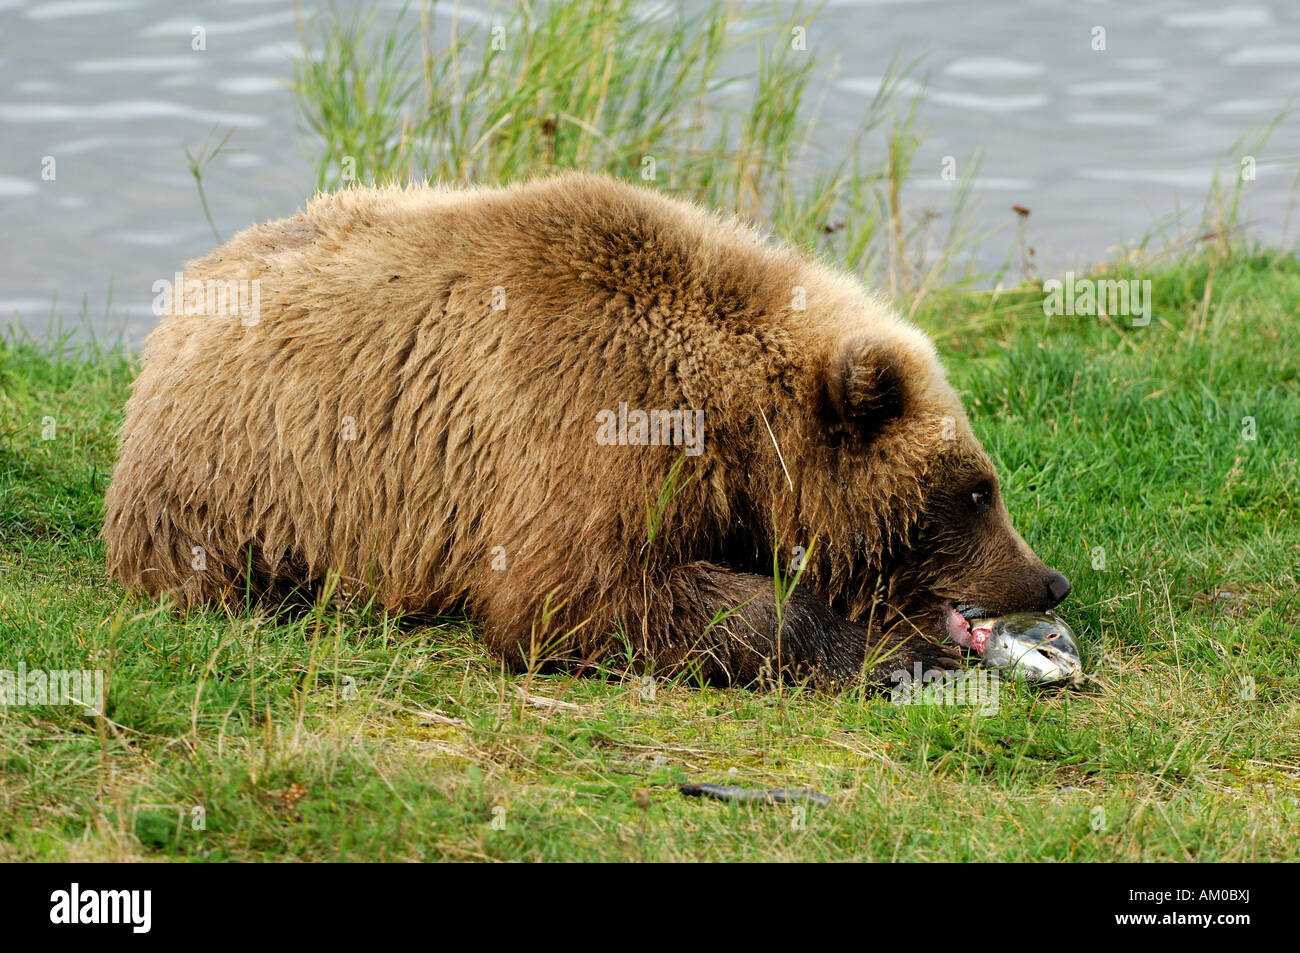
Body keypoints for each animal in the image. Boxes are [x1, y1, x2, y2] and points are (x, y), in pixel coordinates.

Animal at [106, 172, 1066, 691]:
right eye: (975, 491)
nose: (1048, 579)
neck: (726, 429)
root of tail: (183, 294)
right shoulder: (582, 430)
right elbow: (576, 594)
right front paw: (890, 652)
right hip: (239, 485)